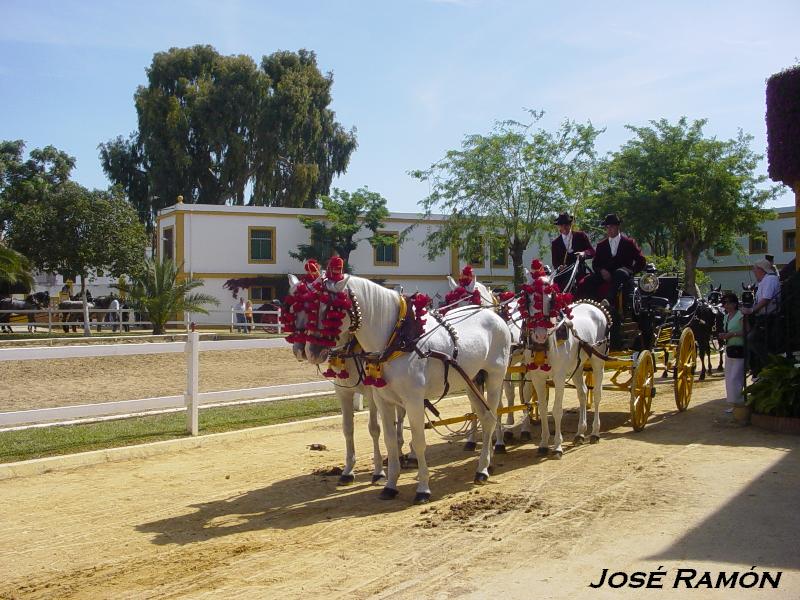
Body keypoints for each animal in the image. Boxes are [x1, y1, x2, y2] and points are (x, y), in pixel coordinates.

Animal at [288, 274, 410, 486]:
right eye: (294, 308)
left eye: (331, 313)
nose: (307, 351)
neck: (350, 348)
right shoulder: (343, 392)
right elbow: (347, 428)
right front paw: (348, 470)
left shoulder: (372, 393)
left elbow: (374, 429)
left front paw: (378, 471)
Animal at [304, 274, 510, 504]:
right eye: (308, 307)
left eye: (333, 310)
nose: (312, 351)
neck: (398, 339)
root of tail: (493, 315)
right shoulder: (383, 401)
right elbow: (389, 440)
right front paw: (390, 485)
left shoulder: (413, 401)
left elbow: (419, 442)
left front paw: (423, 488)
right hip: (470, 381)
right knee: (483, 416)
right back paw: (487, 460)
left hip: (495, 378)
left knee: (491, 417)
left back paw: (483, 468)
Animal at [520, 276, 608, 454]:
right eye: (528, 298)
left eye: (552, 299)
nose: (540, 335)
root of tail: (594, 306)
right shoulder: (537, 378)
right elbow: (542, 408)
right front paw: (544, 444)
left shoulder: (559, 377)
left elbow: (557, 410)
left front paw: (557, 446)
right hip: (577, 367)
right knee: (582, 393)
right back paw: (580, 433)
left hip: (598, 361)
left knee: (596, 395)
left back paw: (595, 432)